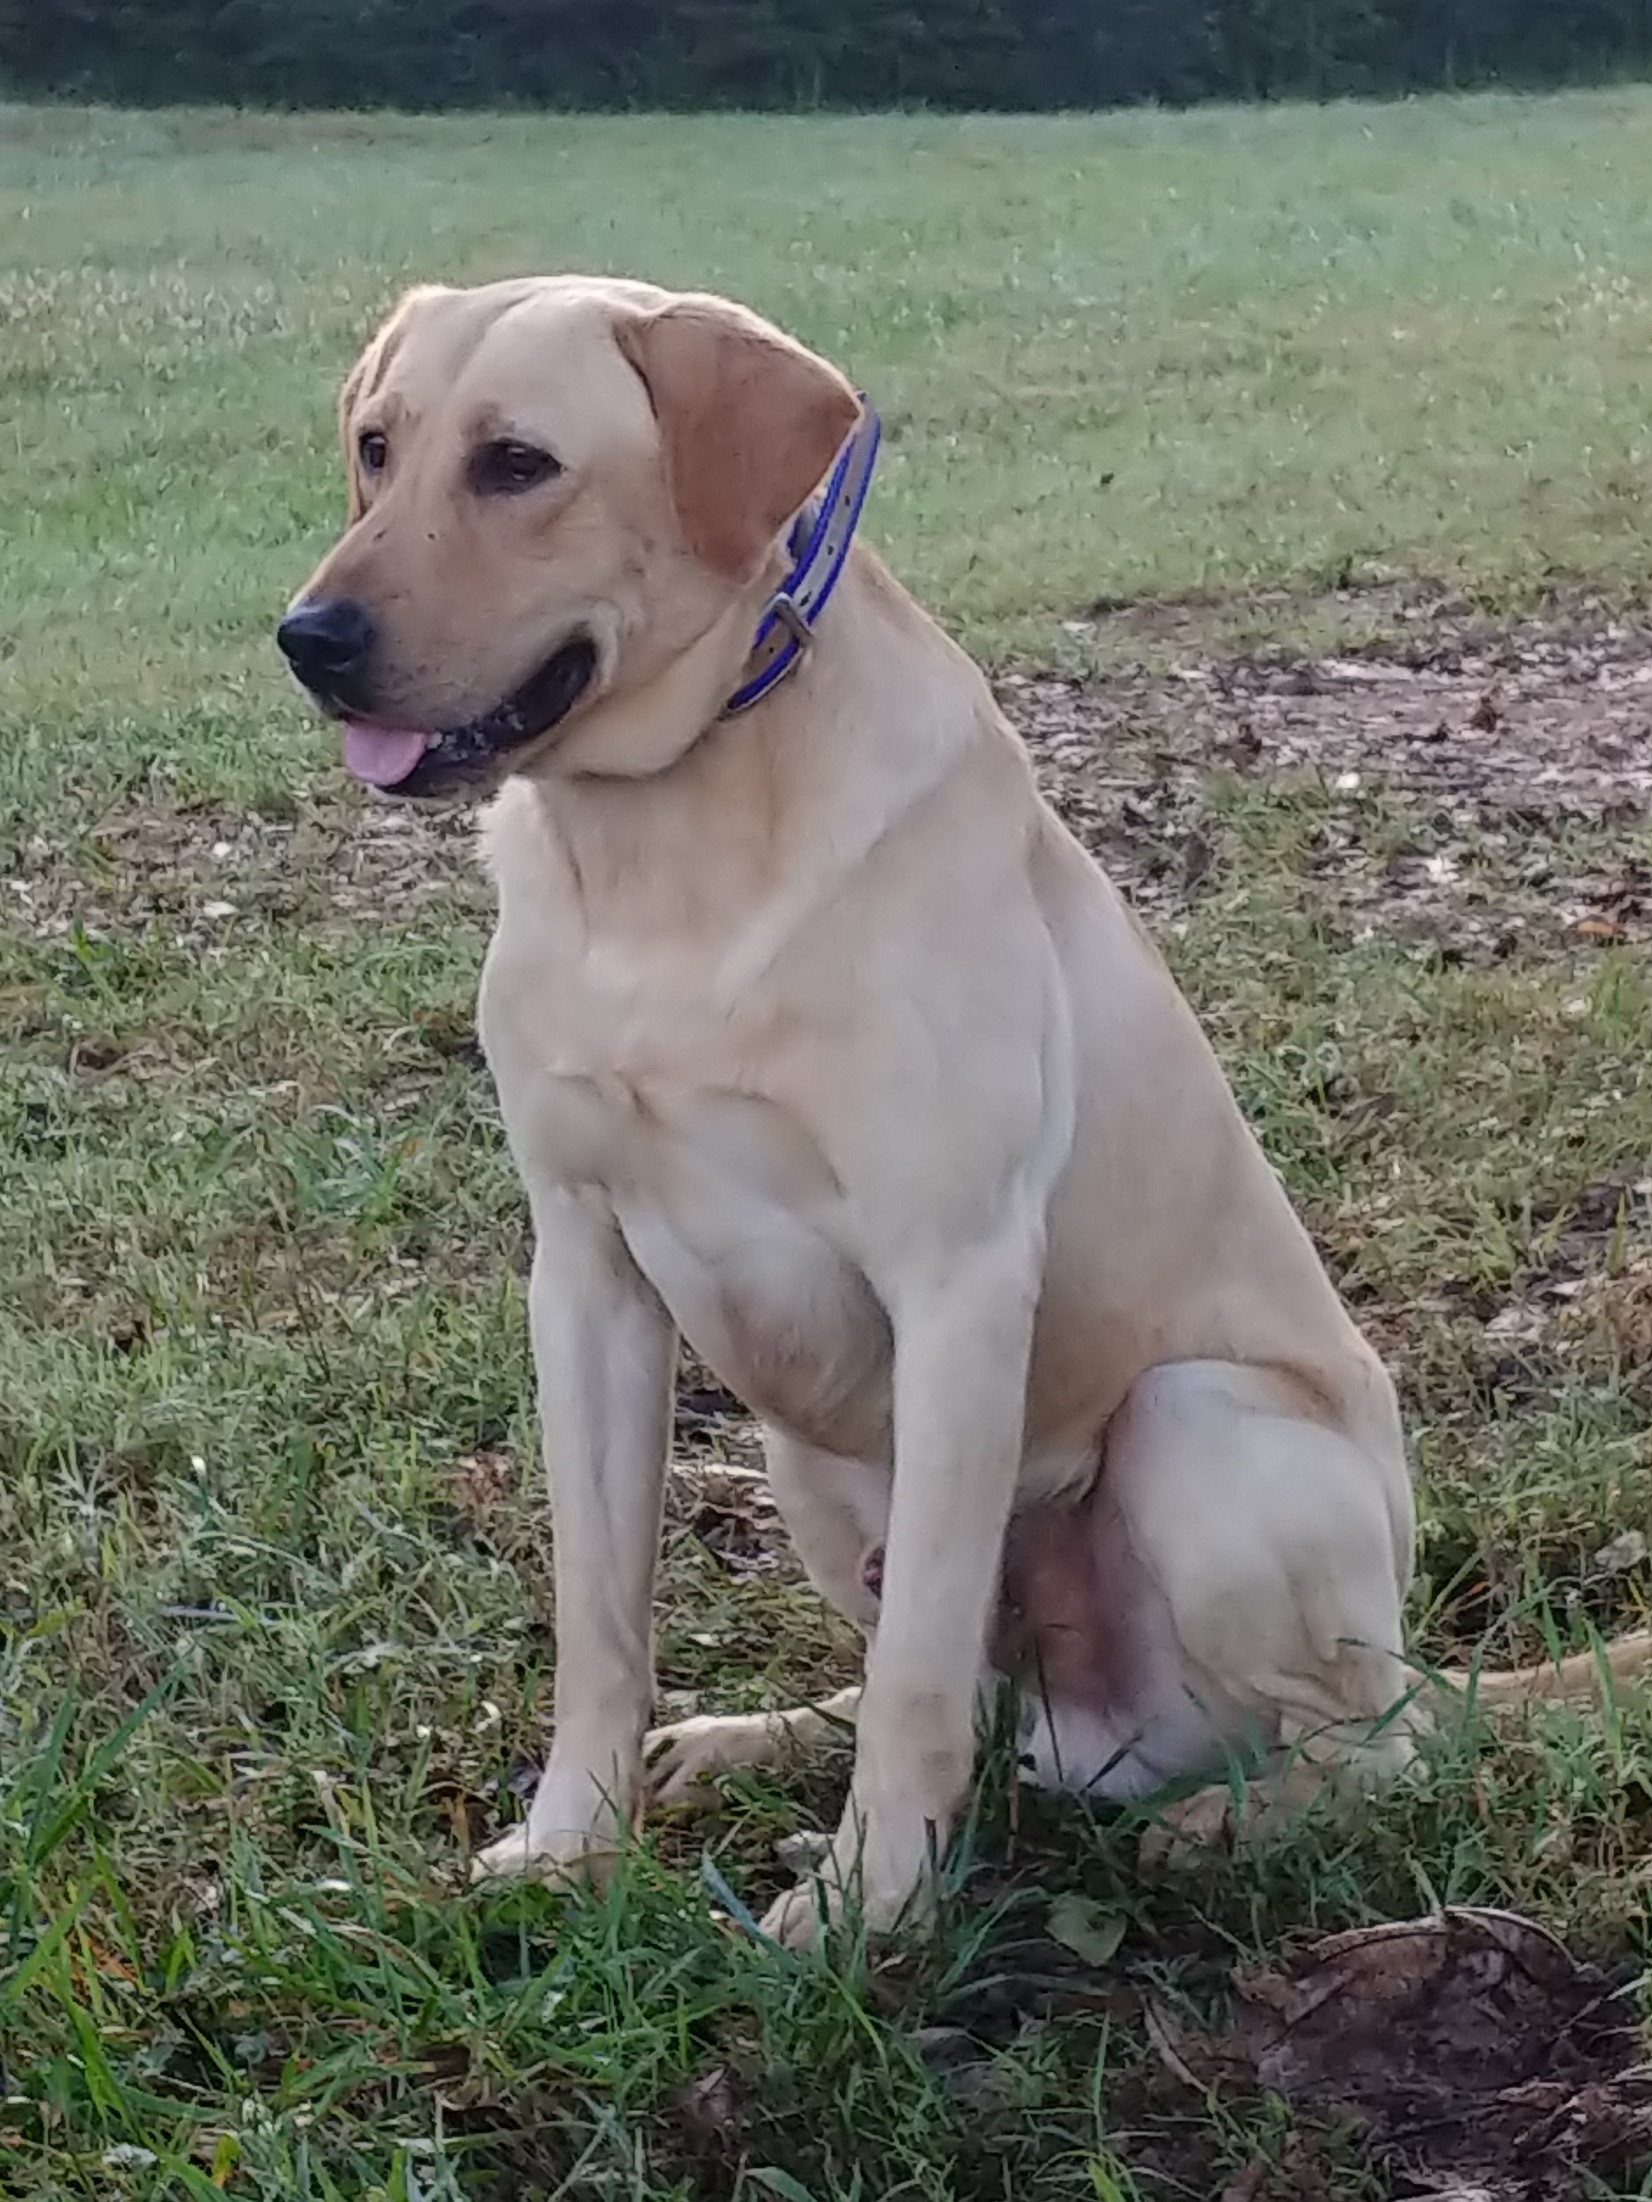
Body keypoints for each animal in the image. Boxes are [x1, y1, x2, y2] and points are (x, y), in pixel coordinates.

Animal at [280, 275, 1651, 1944]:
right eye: (376, 445)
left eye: (518, 463)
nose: (309, 638)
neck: (667, 848)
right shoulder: (587, 1274)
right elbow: (602, 1617)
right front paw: (571, 1839)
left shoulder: (956, 1278)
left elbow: (919, 1674)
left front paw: (868, 1909)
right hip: (806, 1455)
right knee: (976, 1700)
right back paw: (751, 1740)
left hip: (1200, 1427)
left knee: (1369, 1746)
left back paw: (1221, 1826)